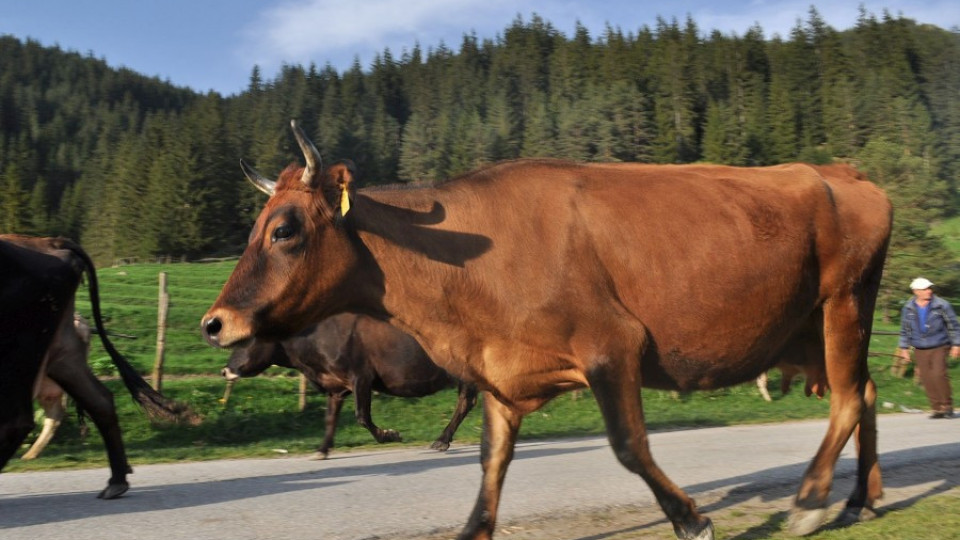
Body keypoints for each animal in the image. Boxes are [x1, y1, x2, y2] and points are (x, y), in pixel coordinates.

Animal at [201, 122, 892, 540]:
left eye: (284, 229)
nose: (215, 323)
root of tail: (842, 171)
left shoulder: (613, 346)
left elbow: (629, 447)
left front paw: (690, 518)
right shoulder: (498, 371)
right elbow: (491, 460)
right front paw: (473, 527)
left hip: (843, 302)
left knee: (847, 397)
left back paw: (810, 501)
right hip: (813, 327)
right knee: (865, 392)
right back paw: (860, 499)